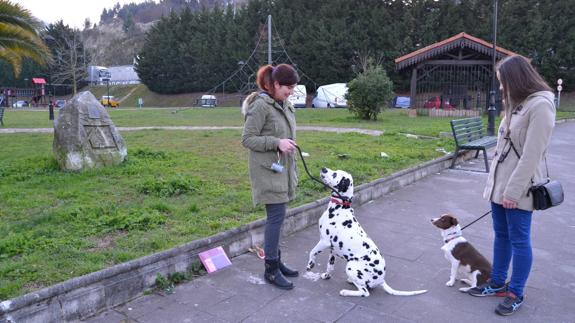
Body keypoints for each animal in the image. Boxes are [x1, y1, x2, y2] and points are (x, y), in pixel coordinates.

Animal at [306, 170, 428, 298]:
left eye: (335, 174)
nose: (323, 169)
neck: (340, 207)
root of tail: (381, 280)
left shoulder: (324, 242)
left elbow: (312, 252)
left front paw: (310, 265)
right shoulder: (332, 249)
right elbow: (330, 266)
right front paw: (326, 275)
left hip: (350, 266)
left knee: (365, 292)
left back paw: (346, 292)